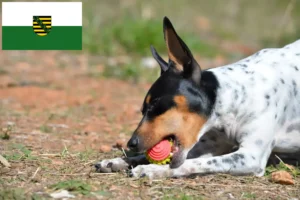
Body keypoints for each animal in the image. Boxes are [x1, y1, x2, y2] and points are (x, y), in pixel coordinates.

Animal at [95, 16, 300, 179]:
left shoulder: (251, 156)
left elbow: (189, 164)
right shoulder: (209, 146)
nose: (131, 143)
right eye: (143, 110)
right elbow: (160, 157)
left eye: (155, 104)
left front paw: (153, 169)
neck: (234, 96)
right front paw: (117, 161)